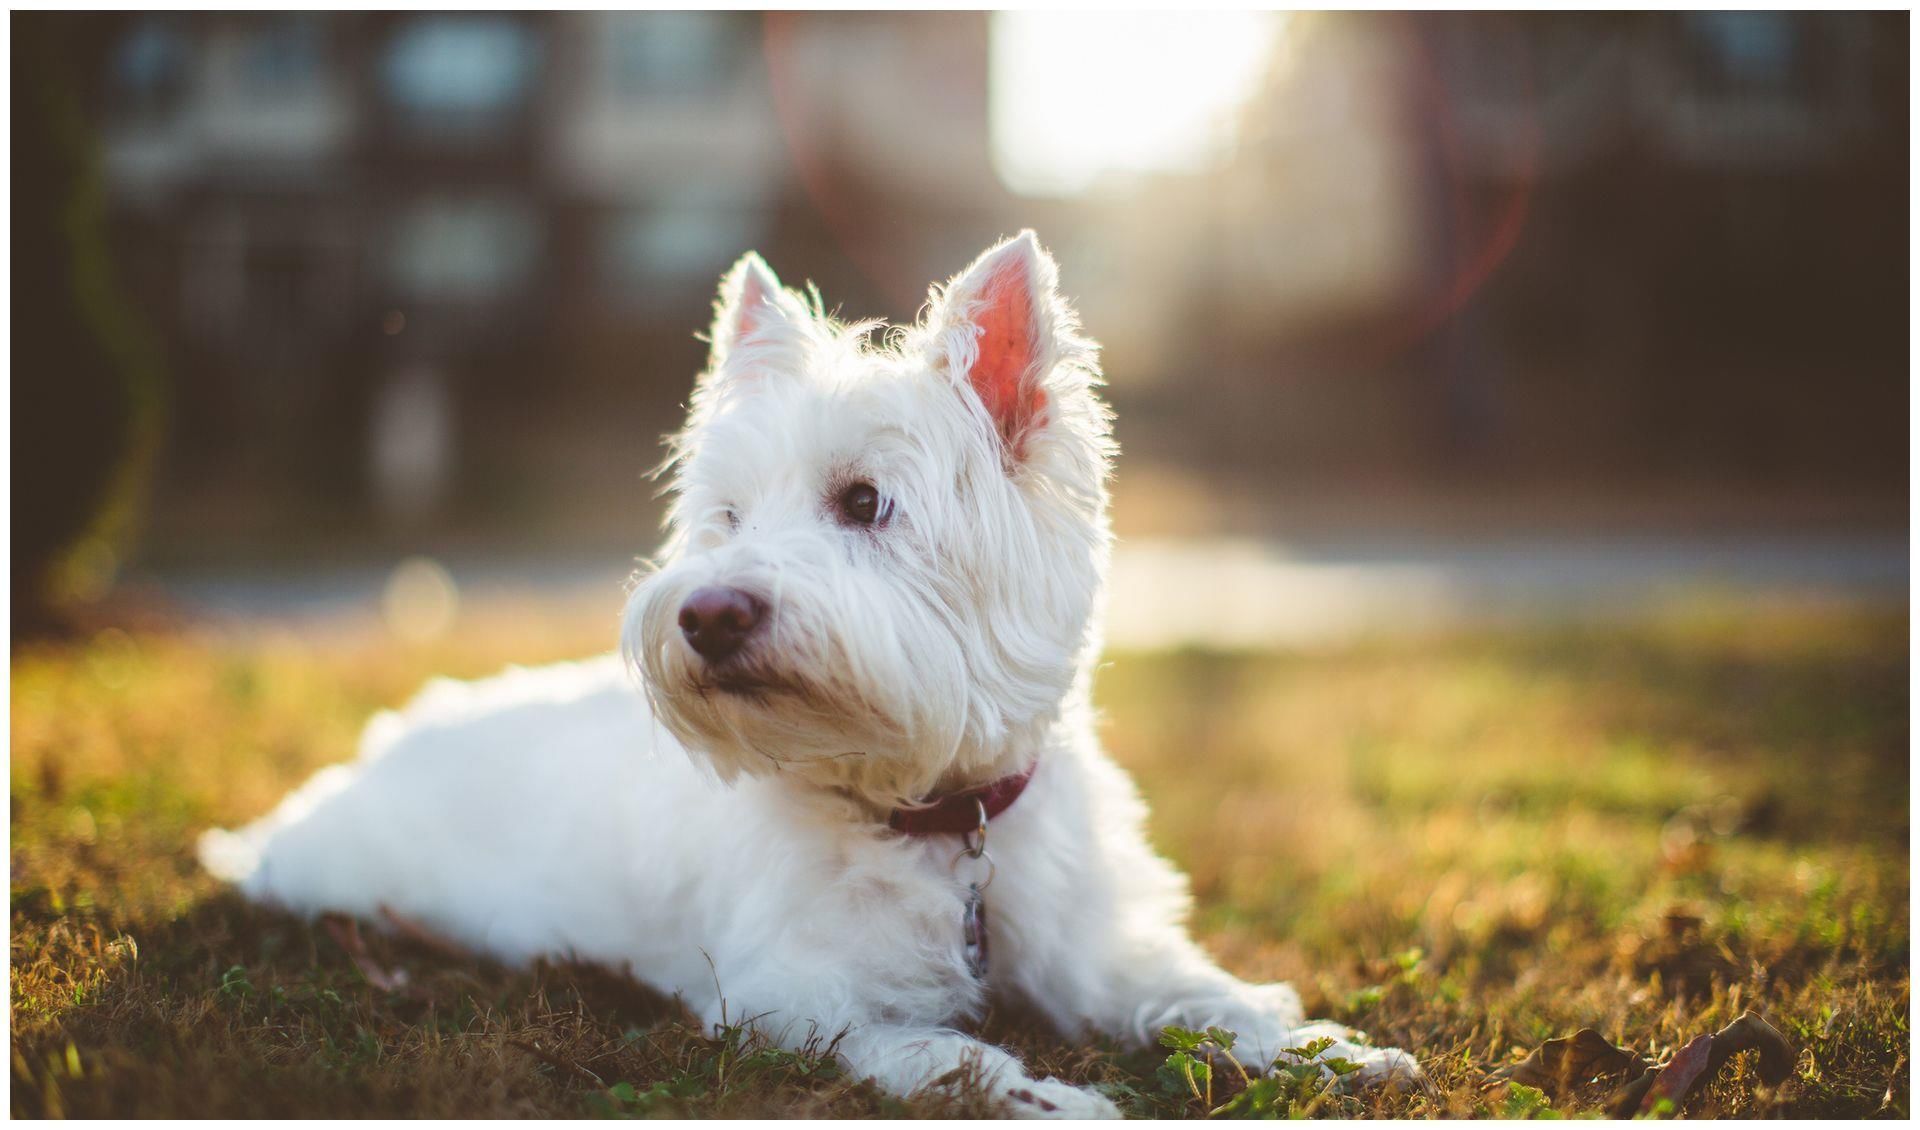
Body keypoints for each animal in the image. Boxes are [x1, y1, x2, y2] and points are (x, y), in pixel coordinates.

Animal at [202, 233, 1420, 1112]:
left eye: (864, 500)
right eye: (728, 516)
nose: (706, 612)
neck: (936, 817)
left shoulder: (1097, 947)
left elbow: (1198, 992)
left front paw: (1325, 1045)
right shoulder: (789, 998)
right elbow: (939, 1051)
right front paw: (1052, 1097)